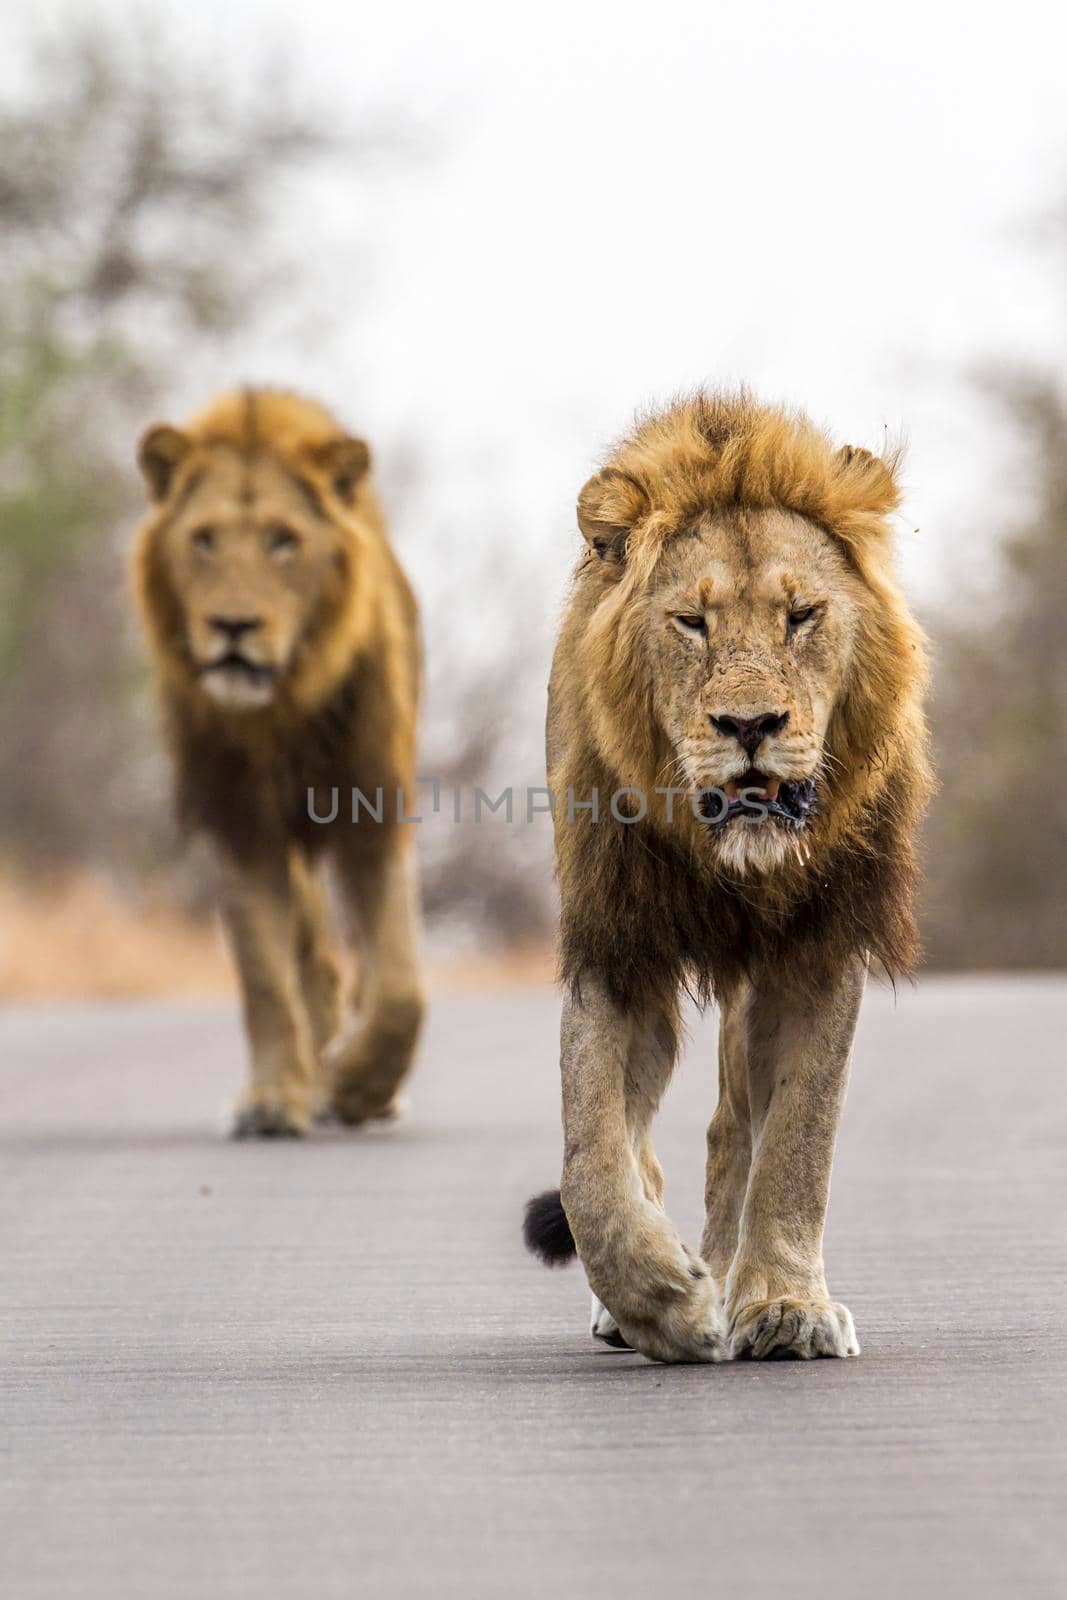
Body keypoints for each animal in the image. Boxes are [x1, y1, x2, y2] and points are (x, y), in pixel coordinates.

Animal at [129, 387, 422, 1139]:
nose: (234, 626)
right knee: (309, 959)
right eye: (203, 539)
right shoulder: (238, 823)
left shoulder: (372, 807)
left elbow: (400, 985)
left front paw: (359, 1085)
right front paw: (272, 1099)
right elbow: (264, 975)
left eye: (284, 540)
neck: (280, 709)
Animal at [524, 387, 927, 1363]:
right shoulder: (617, 947)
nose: (749, 724)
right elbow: (590, 1157)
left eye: (801, 615)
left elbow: (796, 1143)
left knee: (732, 1133)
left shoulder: (818, 948)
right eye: (691, 621)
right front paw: (659, 1298)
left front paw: (783, 1306)